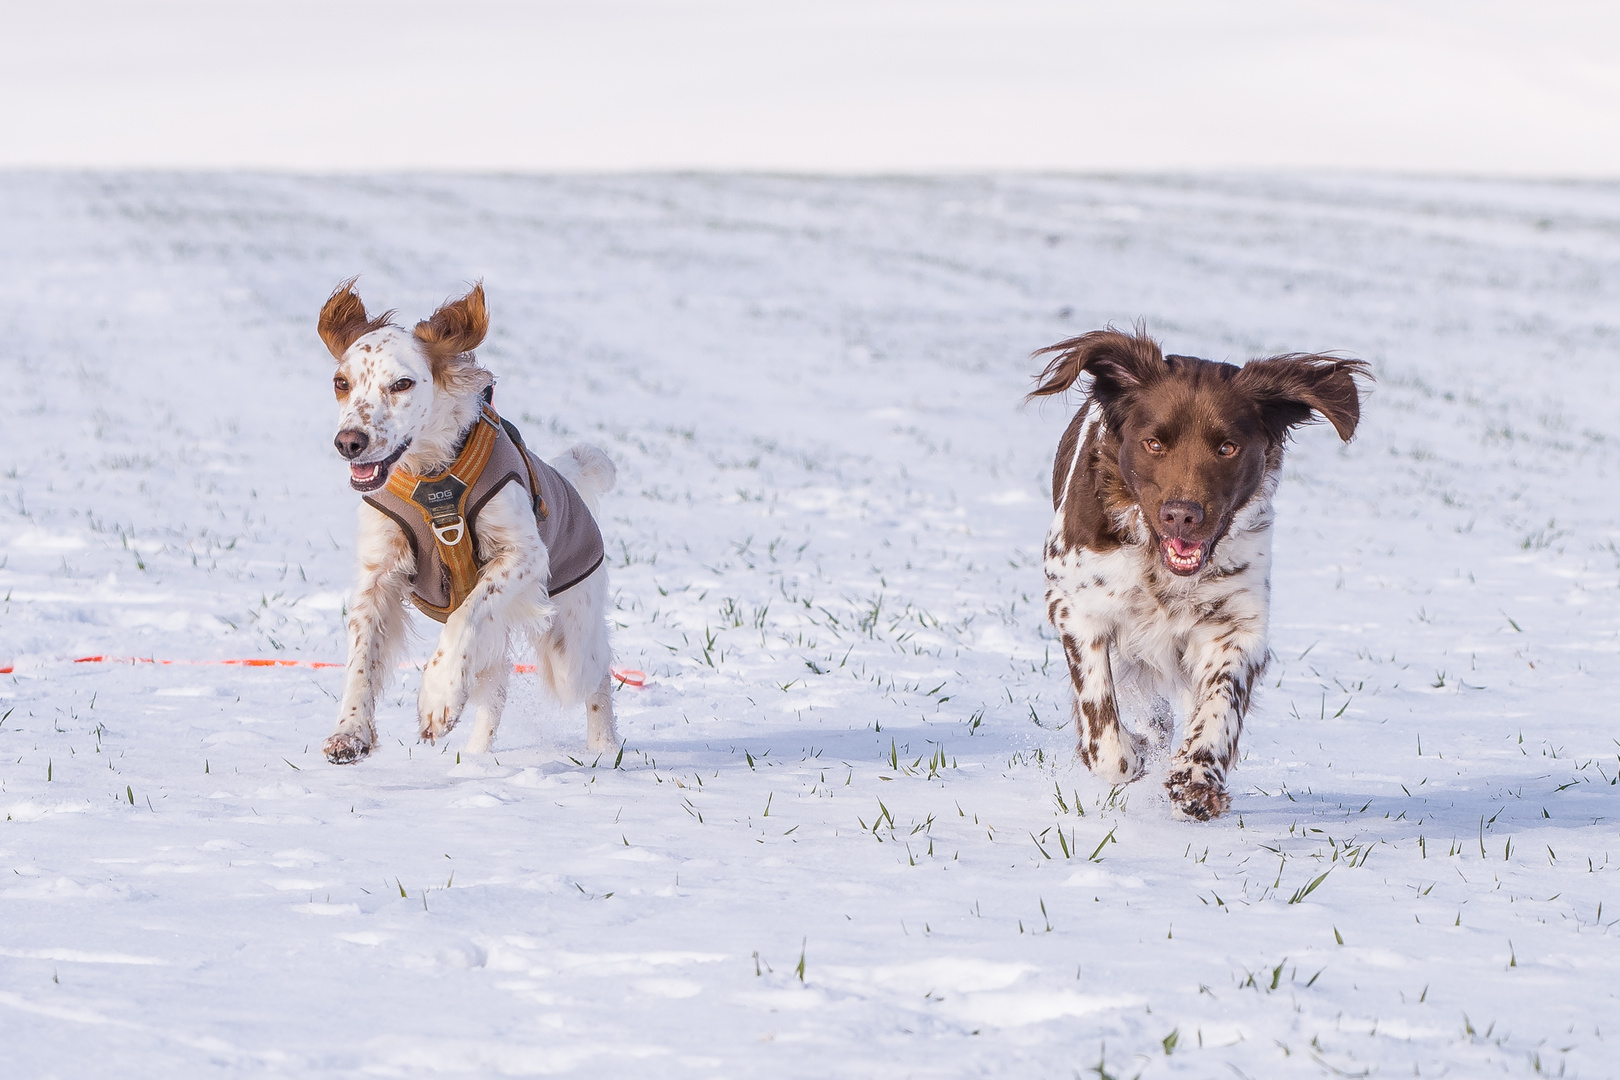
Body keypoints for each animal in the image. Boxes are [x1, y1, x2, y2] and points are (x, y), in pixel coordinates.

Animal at [315, 283, 618, 764]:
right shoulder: (378, 575)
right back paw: (476, 761)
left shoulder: (525, 556)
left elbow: (465, 614)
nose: (349, 443)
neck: (432, 478)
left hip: (569, 641)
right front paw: (350, 732)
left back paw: (604, 750)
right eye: (341, 383)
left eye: (402, 384)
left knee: (597, 675)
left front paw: (437, 698)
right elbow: (362, 656)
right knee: (495, 694)